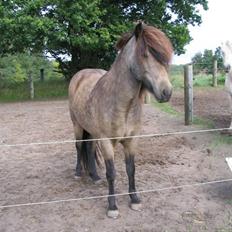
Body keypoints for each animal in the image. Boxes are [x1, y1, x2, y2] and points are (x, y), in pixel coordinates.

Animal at [68, 21, 173, 218]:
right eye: (145, 54)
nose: (167, 92)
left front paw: (135, 200)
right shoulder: (107, 142)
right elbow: (111, 173)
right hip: (77, 125)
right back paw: (78, 173)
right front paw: (112, 206)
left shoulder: (132, 140)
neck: (122, 104)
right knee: (79, 146)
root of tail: (80, 74)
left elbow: (131, 169)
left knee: (89, 148)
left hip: (92, 131)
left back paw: (94, 176)